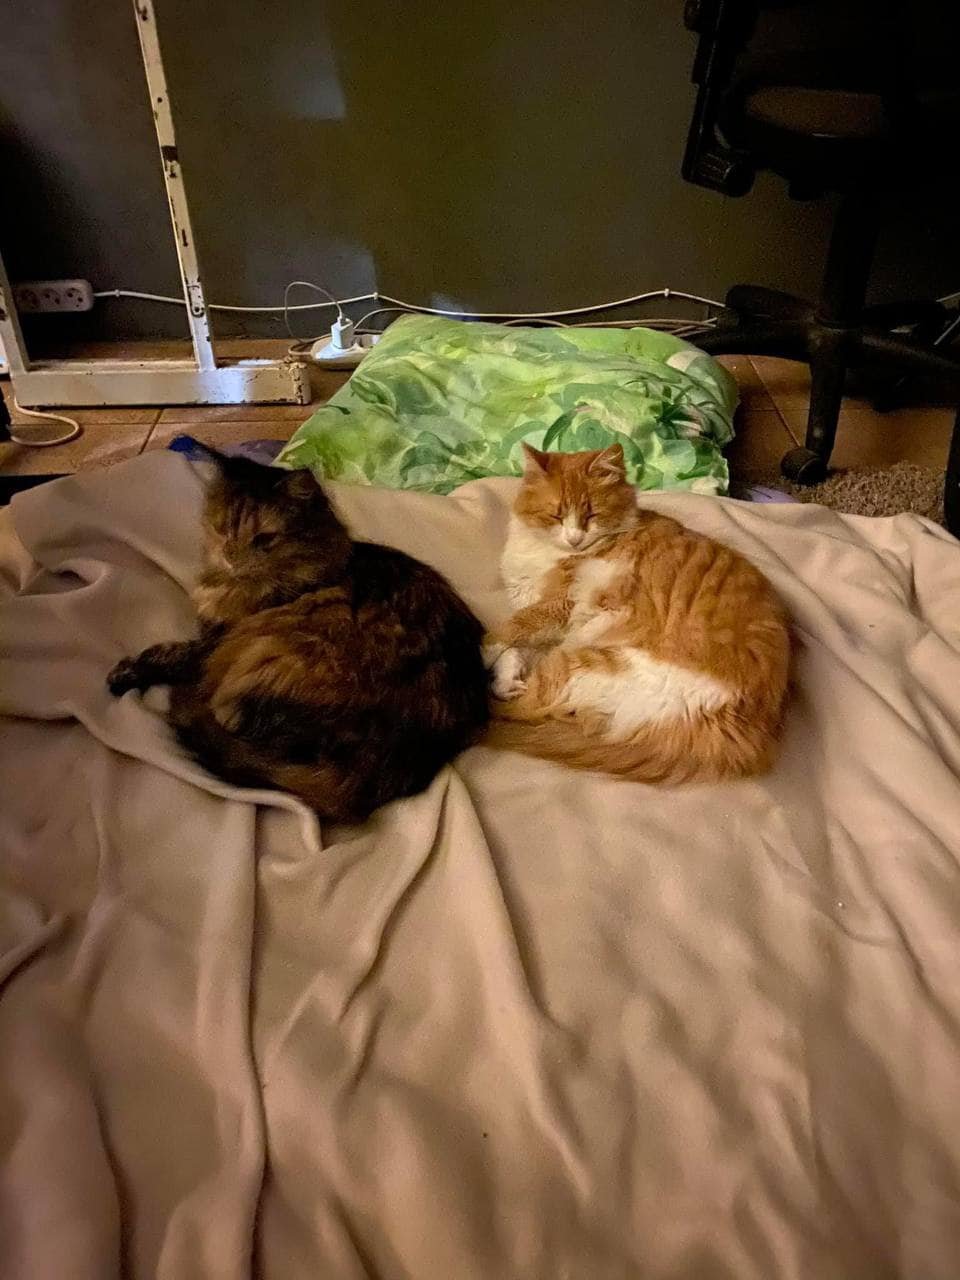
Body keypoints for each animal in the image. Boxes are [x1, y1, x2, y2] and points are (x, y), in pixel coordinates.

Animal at [108, 448, 490, 821]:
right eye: (223, 528)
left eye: (265, 539)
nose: (230, 557)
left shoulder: (213, 643)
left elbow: (169, 654)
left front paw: (124, 675)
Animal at [483, 443, 791, 784]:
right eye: (556, 515)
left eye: (592, 515)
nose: (575, 539)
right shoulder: (541, 614)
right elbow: (517, 643)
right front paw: (508, 673)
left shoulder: (560, 607)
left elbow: (506, 631)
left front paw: (489, 655)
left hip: (580, 661)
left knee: (515, 707)